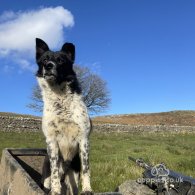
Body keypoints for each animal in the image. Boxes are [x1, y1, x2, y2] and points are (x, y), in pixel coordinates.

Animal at [35, 38, 93, 195]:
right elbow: (55, 170)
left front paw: (87, 189)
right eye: (44, 60)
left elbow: (86, 168)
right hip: (47, 170)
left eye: (60, 60)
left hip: (72, 175)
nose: (48, 66)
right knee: (49, 180)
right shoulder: (52, 141)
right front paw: (55, 190)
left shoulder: (83, 139)